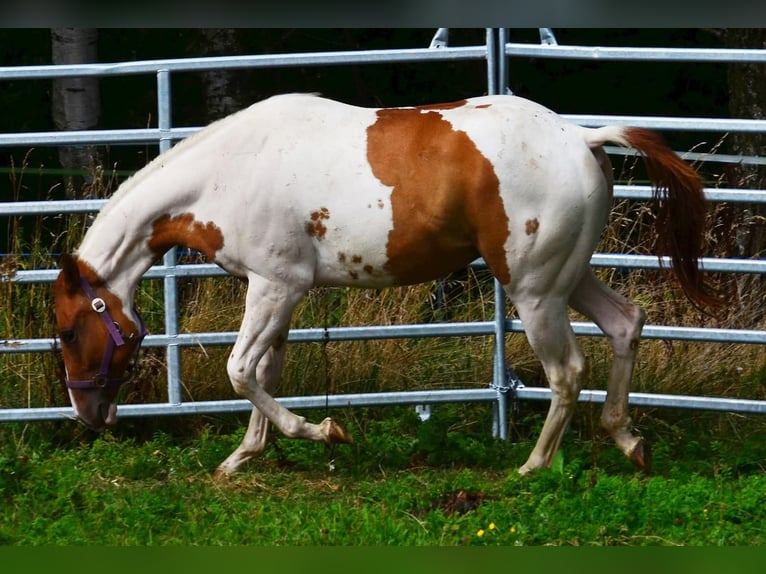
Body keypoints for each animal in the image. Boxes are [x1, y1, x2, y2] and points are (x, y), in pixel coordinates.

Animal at [53, 93, 719, 477]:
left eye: (65, 332)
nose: (88, 415)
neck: (230, 170)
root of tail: (581, 137)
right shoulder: (282, 292)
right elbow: (265, 372)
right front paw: (242, 458)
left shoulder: (273, 287)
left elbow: (241, 370)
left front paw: (323, 431)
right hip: (567, 279)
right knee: (625, 324)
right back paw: (629, 442)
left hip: (535, 293)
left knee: (567, 373)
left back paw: (532, 467)